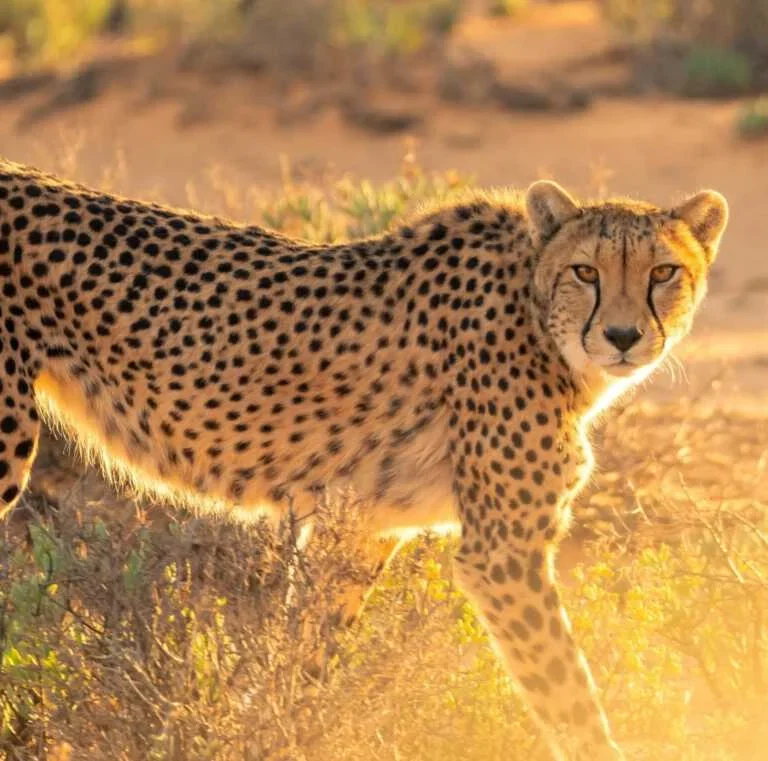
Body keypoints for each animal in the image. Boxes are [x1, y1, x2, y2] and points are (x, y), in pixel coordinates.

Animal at [0, 157, 727, 760]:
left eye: (664, 272)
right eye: (586, 271)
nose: (624, 336)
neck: (537, 315)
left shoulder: (362, 528)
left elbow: (304, 658)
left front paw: (276, 733)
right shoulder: (502, 551)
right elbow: (569, 692)